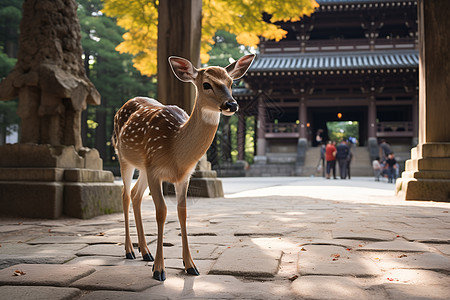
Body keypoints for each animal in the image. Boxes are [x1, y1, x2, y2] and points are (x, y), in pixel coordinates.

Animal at [111, 54, 255, 282]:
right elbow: (161, 212)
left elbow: (182, 212)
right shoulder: (155, 171)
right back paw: (130, 251)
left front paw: (190, 266)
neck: (175, 148)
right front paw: (159, 270)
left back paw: (145, 251)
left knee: (135, 194)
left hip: (143, 166)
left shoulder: (184, 176)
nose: (231, 104)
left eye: (231, 83)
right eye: (206, 84)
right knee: (125, 195)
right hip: (123, 156)